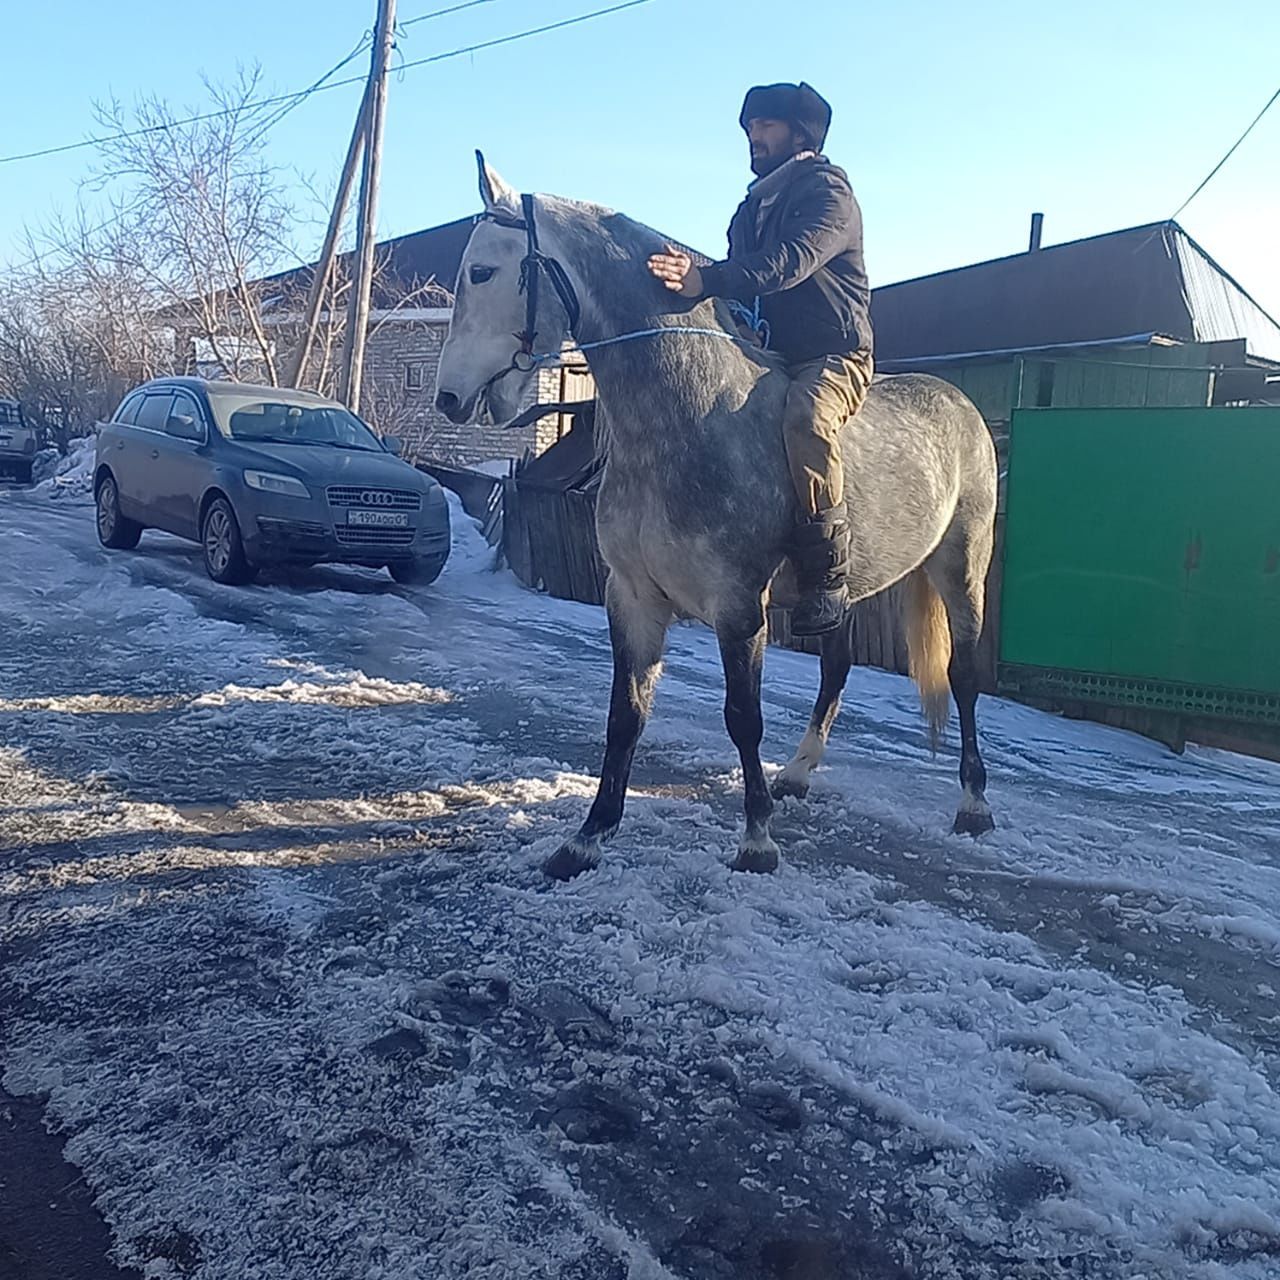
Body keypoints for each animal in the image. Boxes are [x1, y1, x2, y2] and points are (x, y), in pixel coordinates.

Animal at [437, 157, 998, 880]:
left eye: (481, 271)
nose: (450, 398)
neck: (688, 416)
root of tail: (960, 405)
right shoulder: (633, 597)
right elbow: (626, 717)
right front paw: (586, 838)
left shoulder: (738, 607)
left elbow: (742, 718)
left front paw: (756, 842)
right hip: (846, 592)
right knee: (837, 667)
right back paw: (798, 774)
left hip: (962, 568)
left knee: (965, 676)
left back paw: (973, 805)